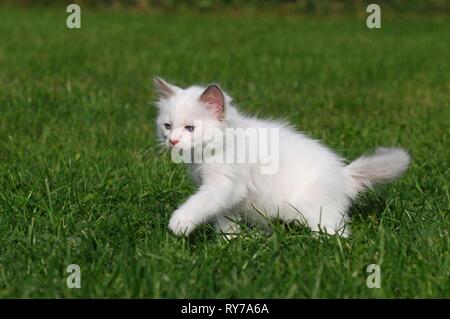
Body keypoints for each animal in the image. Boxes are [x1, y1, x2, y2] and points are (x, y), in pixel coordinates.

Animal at [155, 77, 412, 238]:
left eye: (190, 128)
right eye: (168, 126)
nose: (172, 141)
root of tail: (344, 174)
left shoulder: (224, 185)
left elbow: (198, 203)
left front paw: (179, 223)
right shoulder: (227, 196)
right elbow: (223, 218)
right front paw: (230, 241)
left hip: (311, 208)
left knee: (339, 233)